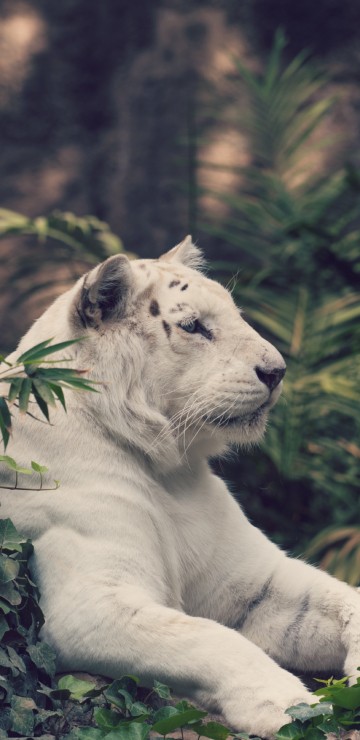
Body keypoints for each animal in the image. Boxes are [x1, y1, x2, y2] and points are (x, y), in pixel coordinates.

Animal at [0, 240, 360, 736]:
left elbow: (339, 596)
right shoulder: (90, 605)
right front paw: (287, 706)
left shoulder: (253, 584)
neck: (170, 472)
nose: (277, 370)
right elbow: (210, 637)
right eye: (194, 326)